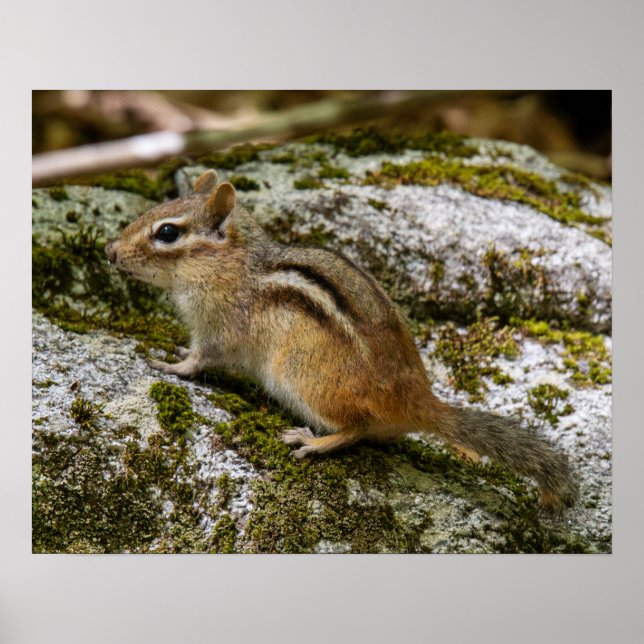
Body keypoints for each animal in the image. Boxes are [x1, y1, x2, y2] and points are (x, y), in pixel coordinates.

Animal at [105, 169, 578, 513]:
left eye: (167, 232)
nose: (110, 252)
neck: (231, 263)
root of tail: (417, 400)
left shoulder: (218, 325)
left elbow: (201, 358)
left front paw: (169, 364)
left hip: (298, 376)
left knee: (355, 429)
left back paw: (310, 442)